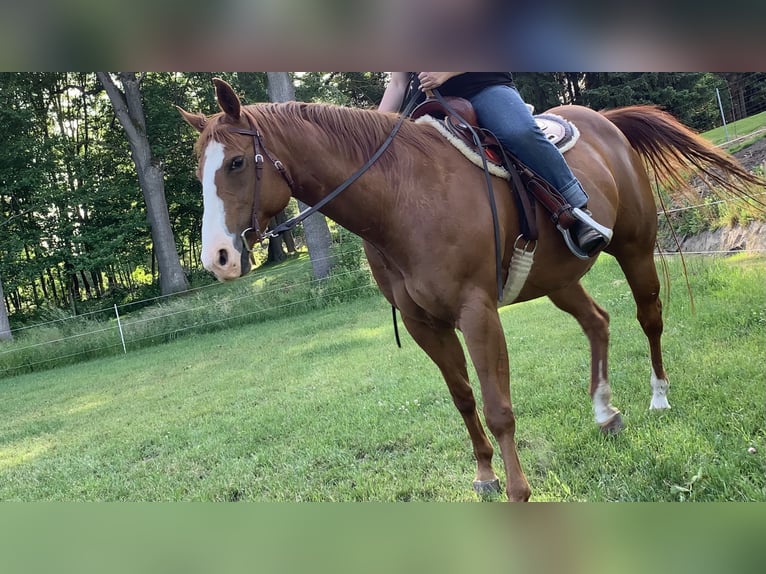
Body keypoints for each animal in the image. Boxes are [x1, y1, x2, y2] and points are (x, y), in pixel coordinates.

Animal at [178, 79, 760, 502]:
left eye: (236, 163)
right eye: (199, 171)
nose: (218, 258)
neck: (403, 196)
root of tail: (606, 122)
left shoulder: (477, 312)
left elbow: (498, 405)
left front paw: (519, 491)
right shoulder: (424, 324)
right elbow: (462, 397)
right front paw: (484, 476)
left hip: (636, 249)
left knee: (649, 316)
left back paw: (659, 396)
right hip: (558, 279)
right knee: (599, 322)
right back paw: (604, 412)